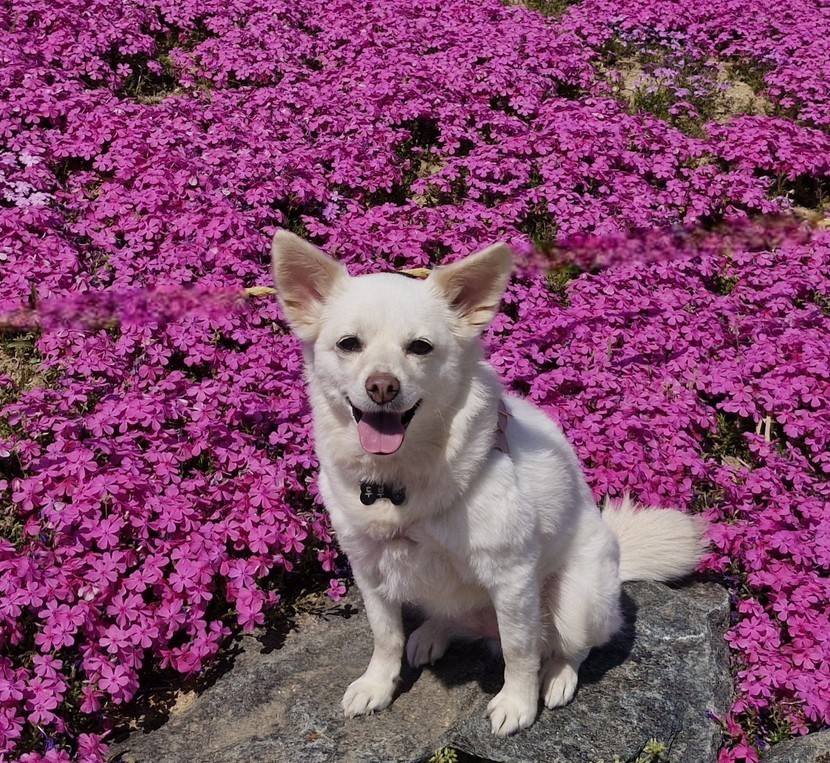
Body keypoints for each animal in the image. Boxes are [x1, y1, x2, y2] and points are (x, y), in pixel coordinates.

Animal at [270, 231, 706, 736]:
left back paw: (557, 677)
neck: (400, 479)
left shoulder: (512, 578)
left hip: (578, 602)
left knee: (570, 646)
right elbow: (384, 636)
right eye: (348, 343)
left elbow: (520, 651)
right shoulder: (369, 569)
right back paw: (431, 634)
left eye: (420, 347)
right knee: (448, 617)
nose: (382, 385)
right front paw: (378, 684)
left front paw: (518, 703)